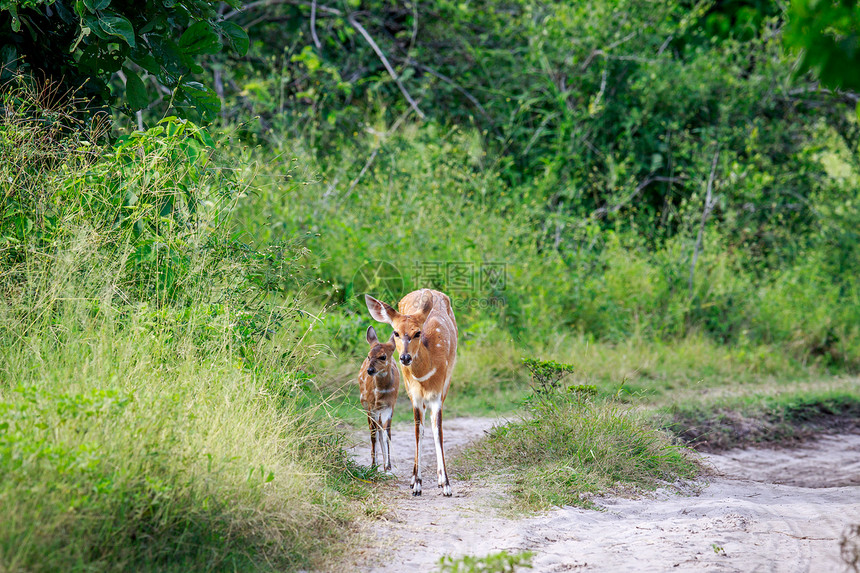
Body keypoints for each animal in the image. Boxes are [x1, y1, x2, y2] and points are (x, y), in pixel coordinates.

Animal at [356, 324, 400, 472]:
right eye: (369, 356)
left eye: (383, 356)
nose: (370, 370)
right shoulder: (371, 406)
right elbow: (374, 433)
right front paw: (374, 466)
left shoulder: (390, 406)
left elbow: (387, 433)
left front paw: (388, 467)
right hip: (366, 405)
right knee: (374, 430)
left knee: (382, 430)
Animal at [362, 288, 456, 494]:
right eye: (396, 332)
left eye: (417, 332)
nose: (405, 357)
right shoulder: (414, 394)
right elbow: (417, 431)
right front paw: (416, 484)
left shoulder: (439, 392)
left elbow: (438, 431)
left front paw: (446, 484)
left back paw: (438, 479)